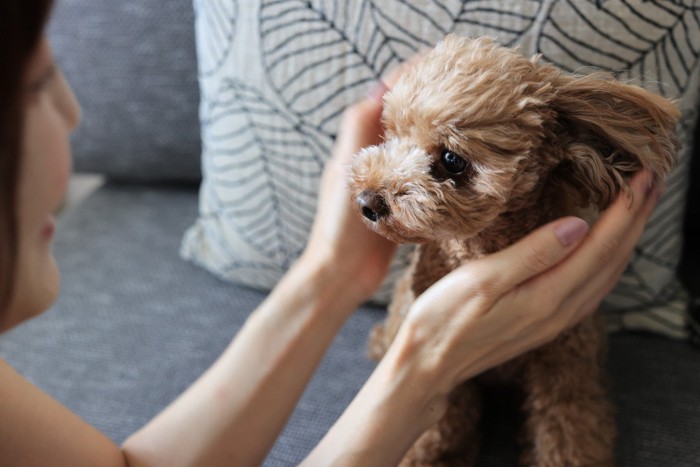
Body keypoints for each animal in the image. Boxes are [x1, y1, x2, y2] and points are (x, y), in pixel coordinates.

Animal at [350, 36, 680, 467]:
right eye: (391, 134)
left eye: (452, 160)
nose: (367, 201)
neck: (480, 247)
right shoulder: (447, 390)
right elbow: (430, 436)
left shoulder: (565, 366)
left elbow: (569, 435)